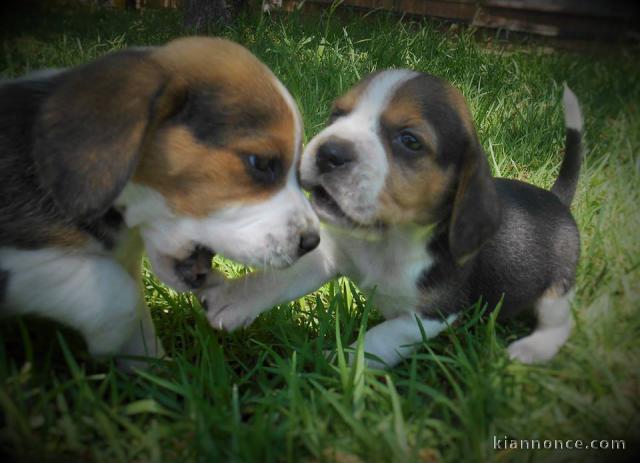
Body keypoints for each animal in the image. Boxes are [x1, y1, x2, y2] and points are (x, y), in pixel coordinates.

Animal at [202, 70, 584, 370]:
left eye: (409, 140)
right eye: (336, 114)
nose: (329, 152)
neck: (387, 240)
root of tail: (556, 199)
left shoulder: (430, 316)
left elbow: (377, 339)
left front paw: (339, 365)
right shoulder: (330, 255)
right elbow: (281, 277)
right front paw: (234, 298)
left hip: (556, 289)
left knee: (560, 322)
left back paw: (533, 348)